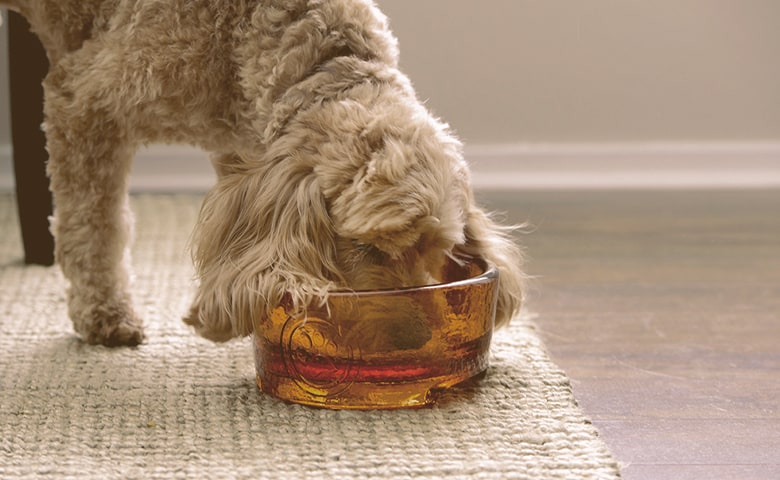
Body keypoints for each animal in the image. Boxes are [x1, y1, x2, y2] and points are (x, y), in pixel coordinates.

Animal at [1, 0, 524, 344]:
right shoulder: (84, 103)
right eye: (368, 248)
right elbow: (96, 228)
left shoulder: (240, 147)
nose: (415, 338)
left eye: (437, 252)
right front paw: (105, 314)